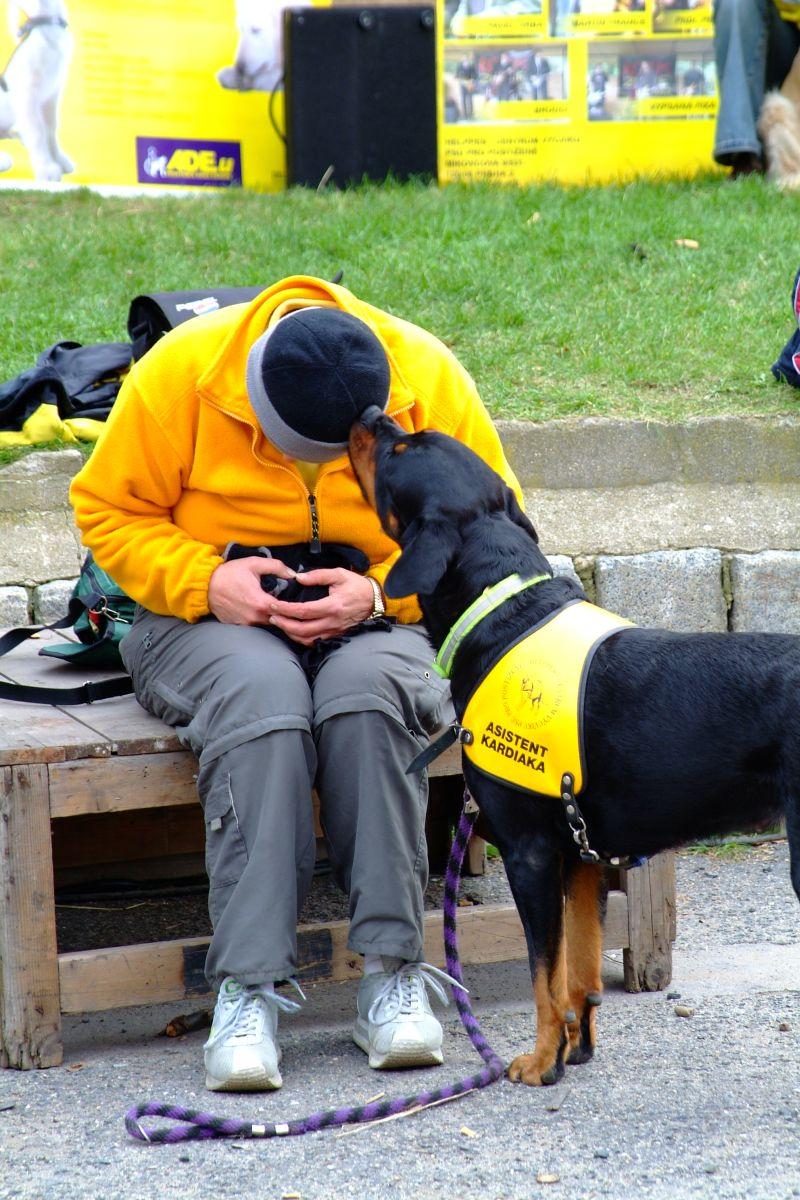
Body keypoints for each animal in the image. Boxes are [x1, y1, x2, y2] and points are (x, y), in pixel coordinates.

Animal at [347, 410, 800, 1089]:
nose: (371, 415)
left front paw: (542, 1062)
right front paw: (576, 1047)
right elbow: (579, 973)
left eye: (399, 449)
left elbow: (544, 976)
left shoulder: (531, 852)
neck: (500, 612)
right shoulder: (582, 852)